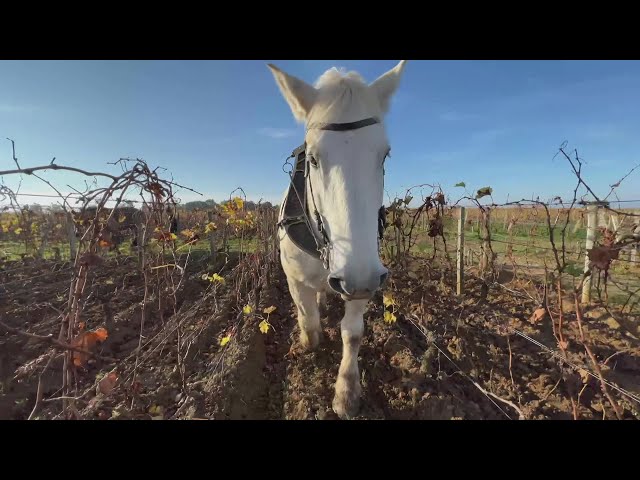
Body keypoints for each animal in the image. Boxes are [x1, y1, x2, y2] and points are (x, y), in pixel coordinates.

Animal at [268, 61, 408, 420]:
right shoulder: (294, 277)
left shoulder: (364, 277)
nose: (357, 277)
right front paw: (308, 345)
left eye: (384, 156)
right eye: (313, 159)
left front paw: (346, 392)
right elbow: (307, 318)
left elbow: (352, 333)